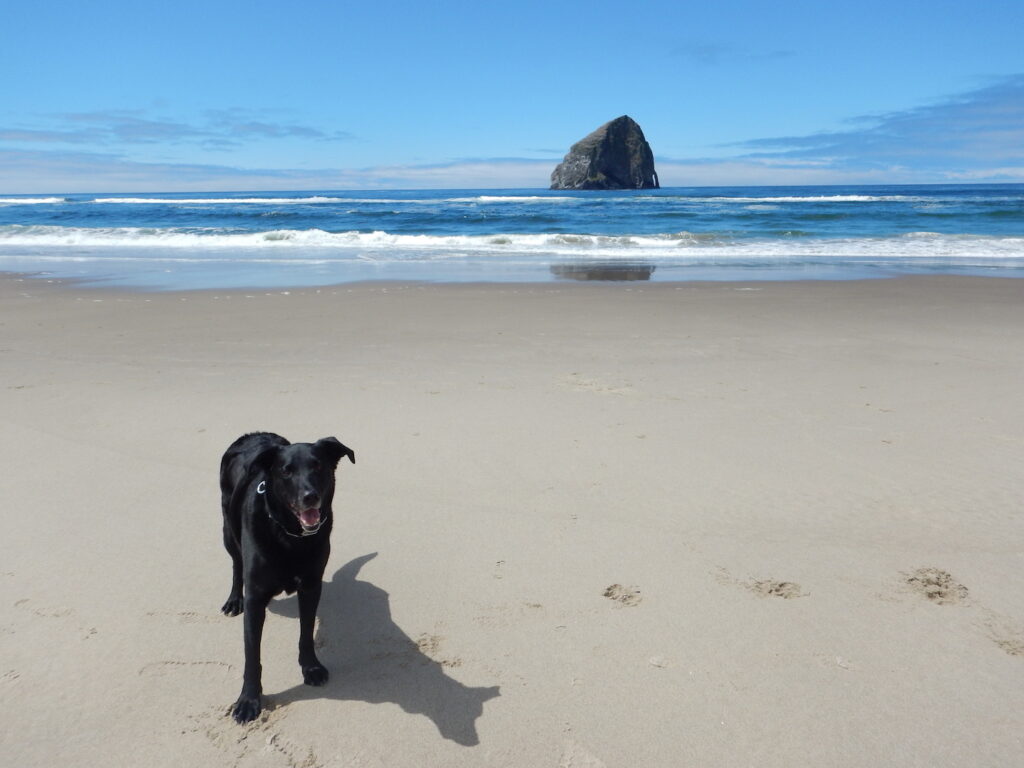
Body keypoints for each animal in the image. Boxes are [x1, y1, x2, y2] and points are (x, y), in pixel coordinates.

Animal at [220, 436, 356, 724]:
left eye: (318, 466)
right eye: (286, 471)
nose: (310, 497)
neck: (291, 537)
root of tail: (251, 435)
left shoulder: (311, 587)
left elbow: (306, 633)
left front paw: (311, 667)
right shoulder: (256, 598)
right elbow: (252, 655)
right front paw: (248, 700)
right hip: (227, 530)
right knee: (236, 563)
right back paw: (234, 599)